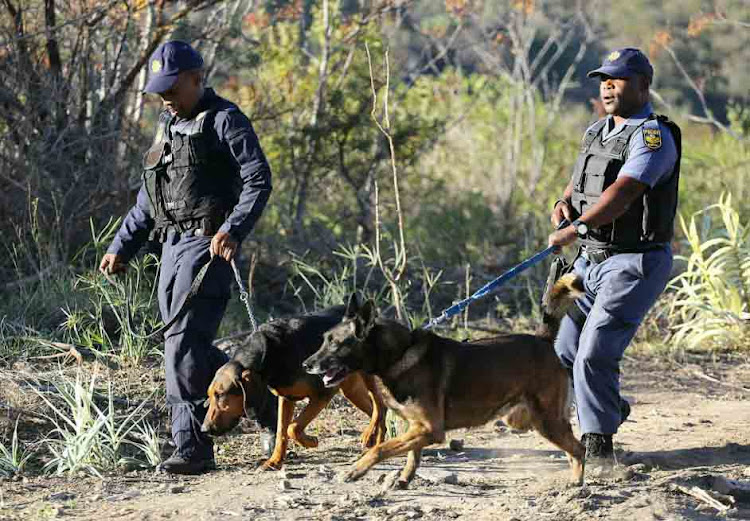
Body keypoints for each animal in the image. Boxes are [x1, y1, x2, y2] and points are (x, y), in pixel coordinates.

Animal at [201, 304, 388, 472]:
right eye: (210, 395)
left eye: (221, 395)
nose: (204, 429)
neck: (269, 356)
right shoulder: (286, 398)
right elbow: (281, 433)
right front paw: (275, 461)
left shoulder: (322, 394)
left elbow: (293, 428)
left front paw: (310, 441)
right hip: (351, 390)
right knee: (377, 409)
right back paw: (376, 442)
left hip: (367, 375)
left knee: (379, 405)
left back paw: (369, 435)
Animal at [304, 274, 588, 490]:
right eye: (324, 339)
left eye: (336, 344)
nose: (306, 365)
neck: (400, 354)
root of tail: (543, 339)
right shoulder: (418, 427)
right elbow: (412, 456)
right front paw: (404, 480)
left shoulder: (430, 429)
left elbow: (380, 449)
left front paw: (355, 471)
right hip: (533, 420)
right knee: (571, 447)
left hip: (546, 420)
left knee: (579, 448)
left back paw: (577, 483)